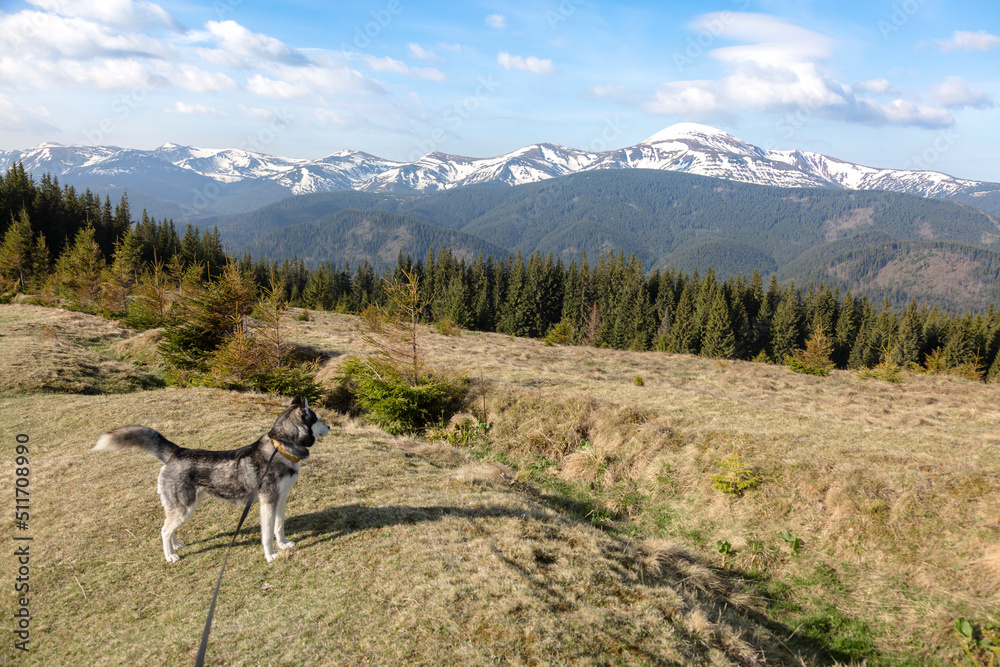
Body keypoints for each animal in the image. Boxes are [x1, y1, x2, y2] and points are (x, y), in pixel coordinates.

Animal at [94, 396, 330, 564]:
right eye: (317, 418)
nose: (329, 427)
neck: (280, 447)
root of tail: (178, 452)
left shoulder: (280, 500)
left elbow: (279, 527)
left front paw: (283, 544)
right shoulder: (267, 503)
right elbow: (266, 535)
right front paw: (270, 556)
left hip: (186, 506)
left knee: (169, 527)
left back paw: (175, 544)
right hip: (184, 508)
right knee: (164, 530)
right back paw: (170, 556)